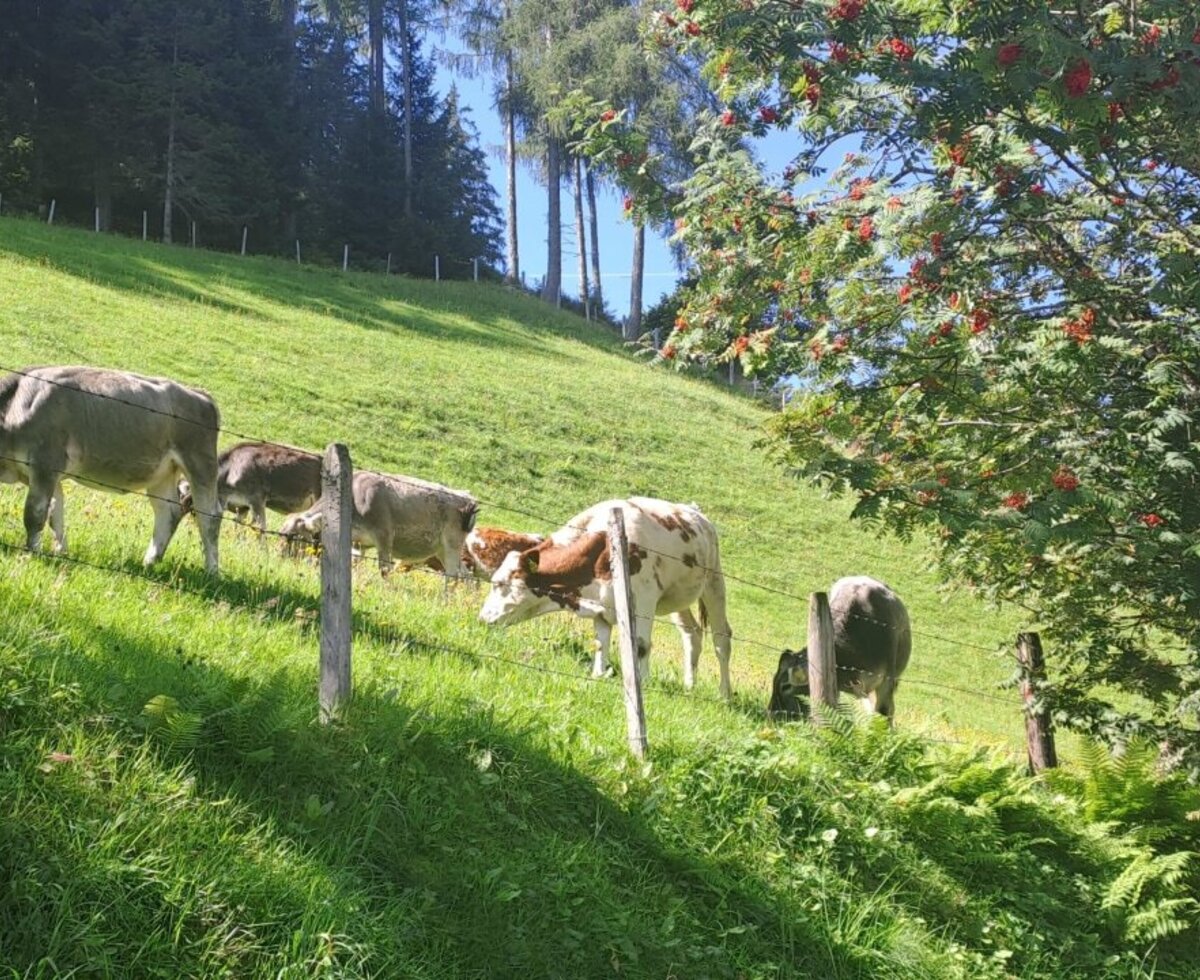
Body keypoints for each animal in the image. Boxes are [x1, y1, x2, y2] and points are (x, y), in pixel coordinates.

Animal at [0, 365, 221, 573]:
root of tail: (200, 394)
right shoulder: (47, 475)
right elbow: (55, 514)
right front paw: (59, 552)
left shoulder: (45, 464)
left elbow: (35, 514)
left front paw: (32, 553)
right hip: (163, 474)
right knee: (169, 512)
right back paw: (148, 562)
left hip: (200, 466)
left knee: (209, 517)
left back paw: (211, 572)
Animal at [180, 441, 321, 533]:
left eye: (193, 509)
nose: (190, 530)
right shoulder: (242, 506)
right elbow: (238, 527)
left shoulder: (257, 500)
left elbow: (260, 528)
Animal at [279, 470, 478, 579]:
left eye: (292, 536)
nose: (279, 556)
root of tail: (466, 496)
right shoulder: (358, 541)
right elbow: (355, 561)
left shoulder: (384, 535)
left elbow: (384, 568)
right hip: (441, 550)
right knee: (466, 576)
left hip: (451, 544)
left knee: (452, 576)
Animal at [478, 497, 733, 699]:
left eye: (499, 583)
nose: (482, 618)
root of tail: (695, 511)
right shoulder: (600, 605)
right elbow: (600, 642)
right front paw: (598, 674)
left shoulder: (644, 599)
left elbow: (641, 645)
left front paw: (643, 683)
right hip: (678, 599)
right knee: (692, 633)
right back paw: (690, 686)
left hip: (714, 582)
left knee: (722, 639)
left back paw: (725, 694)